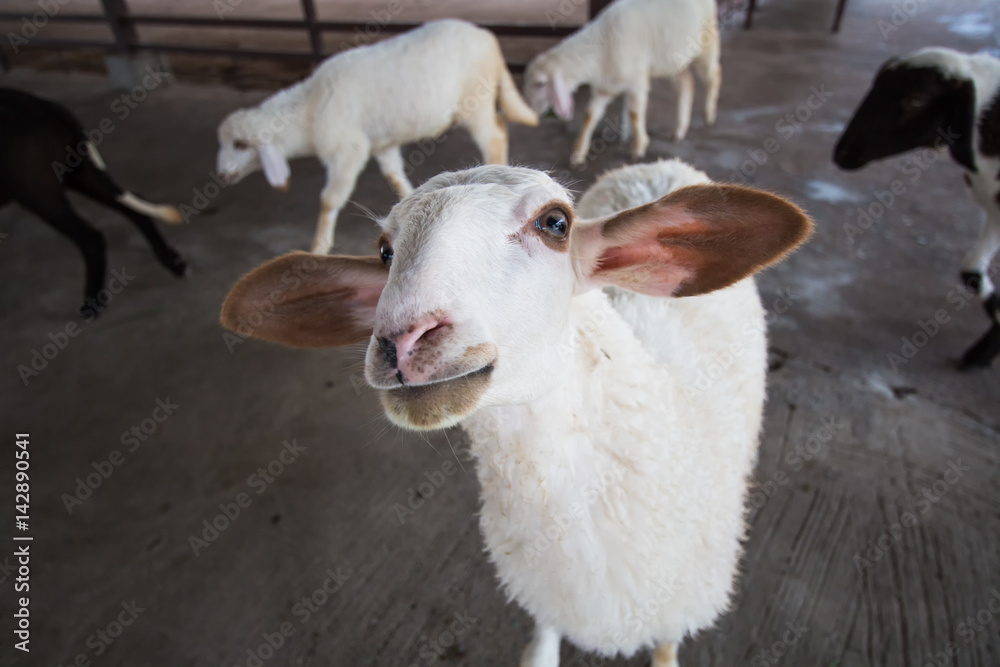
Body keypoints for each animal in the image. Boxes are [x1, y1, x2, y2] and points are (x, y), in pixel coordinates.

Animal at [0, 87, 186, 316]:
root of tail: (46, 106)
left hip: (40, 194)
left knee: (91, 238)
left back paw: (92, 302)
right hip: (79, 176)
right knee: (135, 208)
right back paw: (172, 262)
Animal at [215, 19, 539, 256]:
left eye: (241, 145)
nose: (220, 175)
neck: (308, 111)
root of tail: (488, 37)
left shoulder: (348, 151)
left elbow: (329, 200)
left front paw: (318, 247)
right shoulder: (383, 144)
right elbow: (394, 175)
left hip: (475, 101)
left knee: (494, 136)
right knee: (501, 125)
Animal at [219, 158, 812, 666]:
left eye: (555, 223)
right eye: (385, 251)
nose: (402, 342)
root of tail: (656, 164)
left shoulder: (680, 606)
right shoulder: (547, 596)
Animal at [522, 0, 721, 167]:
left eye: (540, 83)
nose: (531, 110)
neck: (600, 45)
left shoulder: (637, 81)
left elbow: (634, 114)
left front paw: (639, 147)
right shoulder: (605, 88)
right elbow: (589, 116)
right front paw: (578, 153)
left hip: (706, 42)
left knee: (714, 75)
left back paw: (709, 115)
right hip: (672, 60)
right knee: (686, 84)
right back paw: (679, 130)